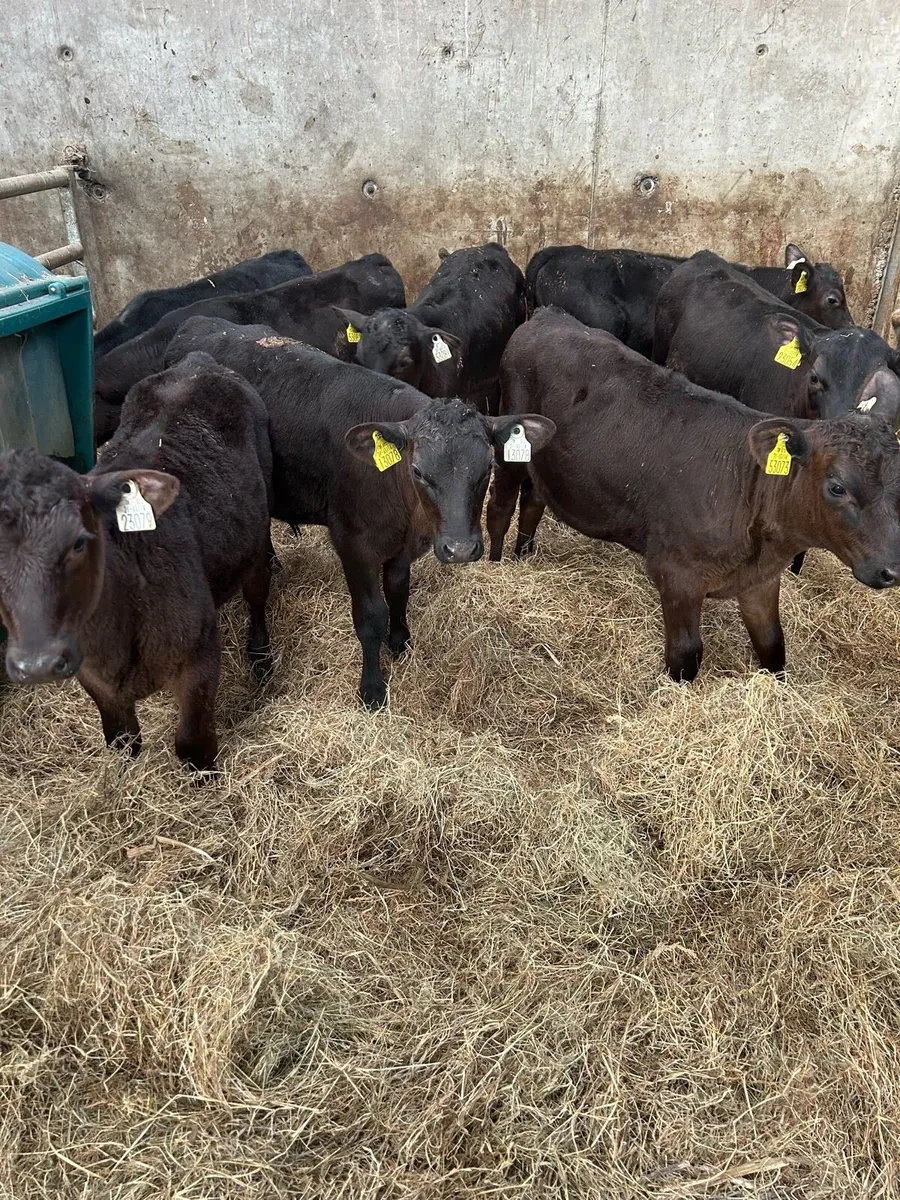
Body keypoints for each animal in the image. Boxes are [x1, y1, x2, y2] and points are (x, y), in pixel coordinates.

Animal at [0, 353, 274, 772]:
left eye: (79, 542)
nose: (37, 663)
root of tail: (196, 363)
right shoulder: (93, 675)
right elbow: (121, 739)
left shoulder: (199, 656)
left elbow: (193, 746)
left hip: (259, 529)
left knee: (257, 593)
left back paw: (260, 657)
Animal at [165, 316, 555, 708]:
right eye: (418, 471)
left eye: (487, 467)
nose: (460, 549)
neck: (407, 514)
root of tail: (197, 322)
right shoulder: (353, 544)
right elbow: (370, 616)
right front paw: (372, 688)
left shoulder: (402, 547)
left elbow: (398, 591)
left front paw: (400, 643)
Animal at [487, 309, 900, 683]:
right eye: (837, 487)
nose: (893, 569)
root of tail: (547, 315)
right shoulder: (676, 575)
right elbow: (686, 654)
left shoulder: (760, 581)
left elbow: (773, 645)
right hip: (511, 447)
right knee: (500, 509)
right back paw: (494, 567)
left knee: (533, 502)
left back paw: (525, 555)